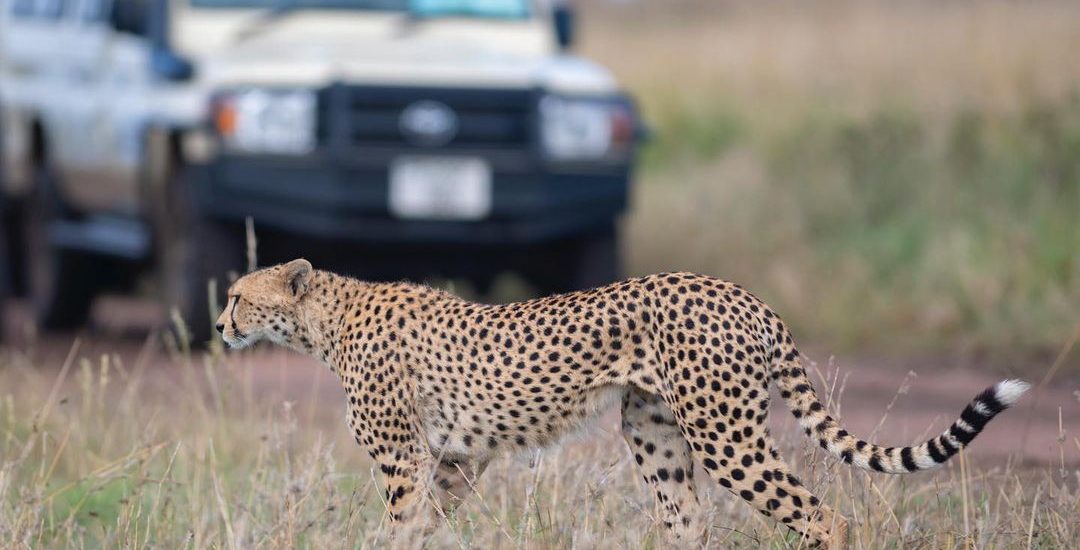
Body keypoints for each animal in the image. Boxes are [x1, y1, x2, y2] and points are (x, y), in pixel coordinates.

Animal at [212, 259, 1028, 546]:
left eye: (237, 297)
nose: (218, 326)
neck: (328, 319)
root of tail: (743, 293)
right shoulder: (453, 460)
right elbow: (418, 531)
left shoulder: (406, 460)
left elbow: (397, 526)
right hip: (657, 434)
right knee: (687, 523)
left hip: (726, 435)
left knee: (826, 516)